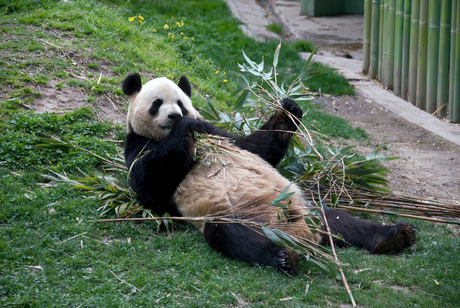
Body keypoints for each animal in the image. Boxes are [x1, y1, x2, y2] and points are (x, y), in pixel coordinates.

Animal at [122, 74, 416, 274]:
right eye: (157, 103)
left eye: (180, 103)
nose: (174, 115)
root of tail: (301, 234)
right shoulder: (139, 144)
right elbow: (150, 189)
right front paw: (183, 127)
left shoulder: (215, 132)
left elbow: (255, 147)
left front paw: (289, 108)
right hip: (240, 217)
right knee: (232, 235)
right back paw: (284, 256)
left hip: (307, 214)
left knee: (338, 220)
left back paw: (395, 235)